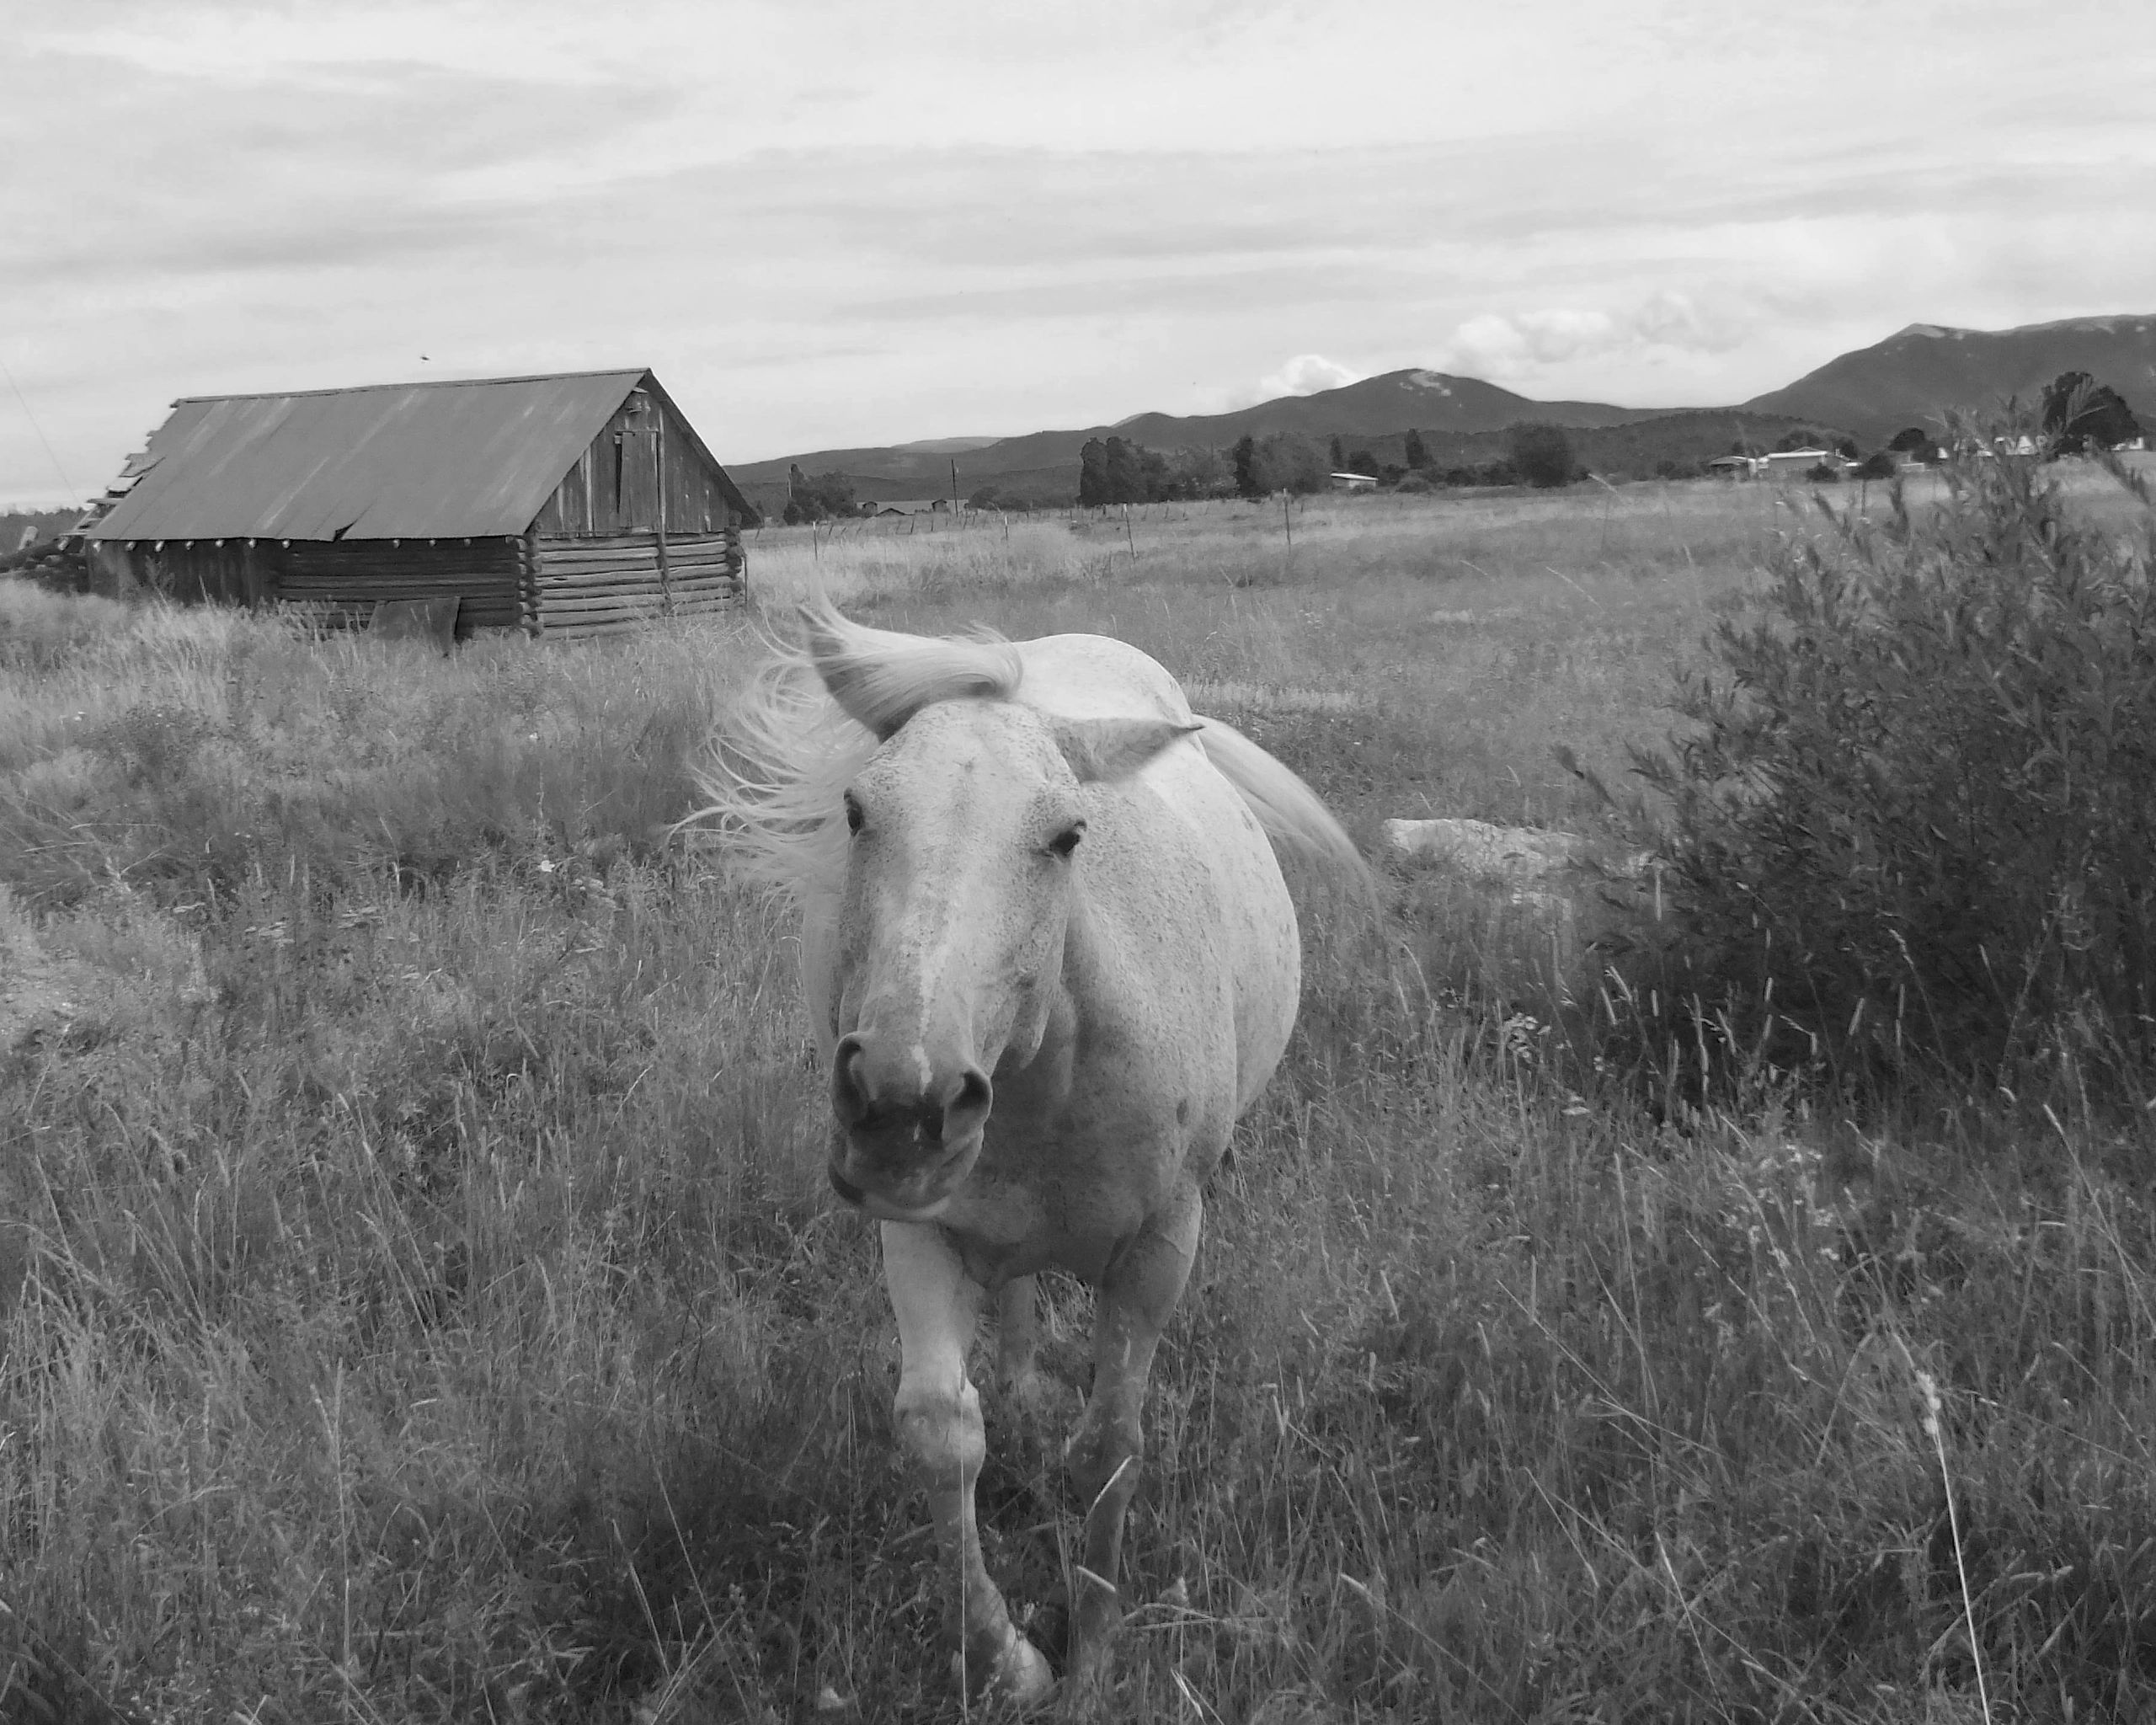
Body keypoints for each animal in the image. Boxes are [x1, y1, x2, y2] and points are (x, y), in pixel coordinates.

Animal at [704, 602, 1364, 1708]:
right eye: (856, 811)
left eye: (1065, 836)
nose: (902, 1103)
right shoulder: (915, 1229)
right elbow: (940, 1431)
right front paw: (1005, 1657)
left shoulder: (1160, 1245)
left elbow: (1109, 1446)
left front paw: (1090, 1652)